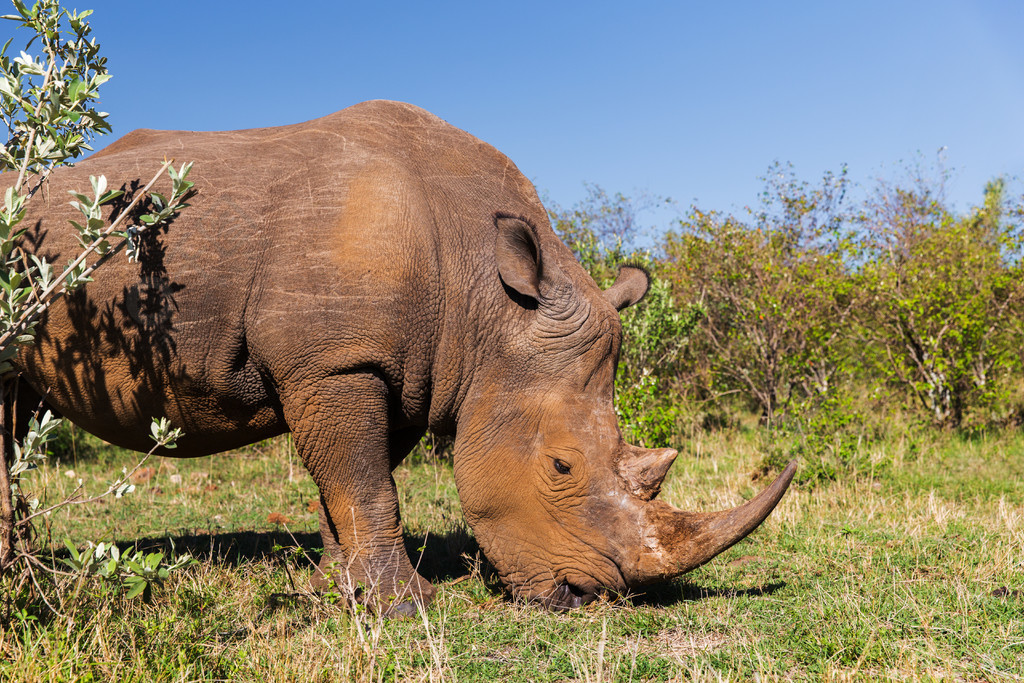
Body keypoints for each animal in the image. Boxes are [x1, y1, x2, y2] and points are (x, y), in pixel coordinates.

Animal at [16, 100, 794, 614]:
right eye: (561, 466)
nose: (587, 595)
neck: (489, 307)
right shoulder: (336, 362)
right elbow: (366, 485)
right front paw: (405, 606)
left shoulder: (400, 370)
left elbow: (350, 483)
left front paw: (339, 590)